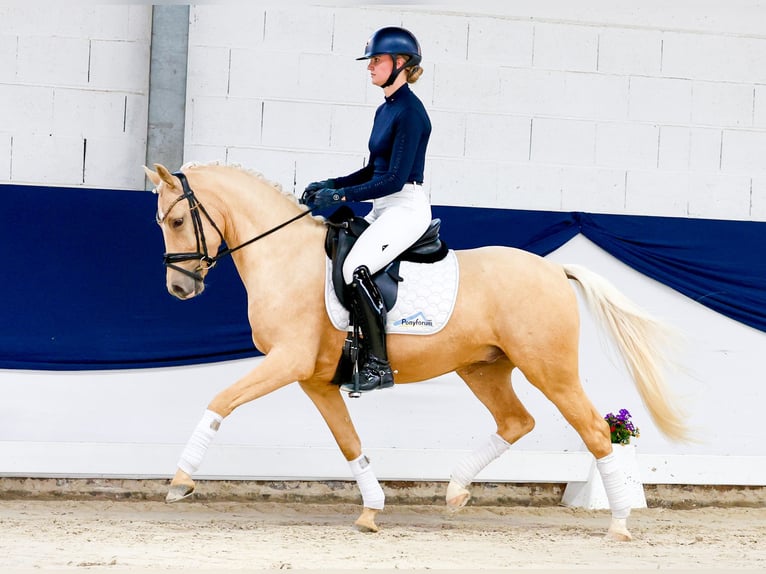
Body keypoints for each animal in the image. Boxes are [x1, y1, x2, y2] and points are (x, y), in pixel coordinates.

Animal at [144, 161, 687, 541]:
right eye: (161, 222)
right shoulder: (313, 379)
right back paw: (456, 490)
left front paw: (180, 480)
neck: (285, 257)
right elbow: (350, 444)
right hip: (483, 368)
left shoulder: (287, 362)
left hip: (550, 369)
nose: (178, 288)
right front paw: (371, 510)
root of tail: (555, 269)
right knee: (516, 421)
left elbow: (220, 401)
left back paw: (619, 523)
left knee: (596, 431)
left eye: (178, 220)